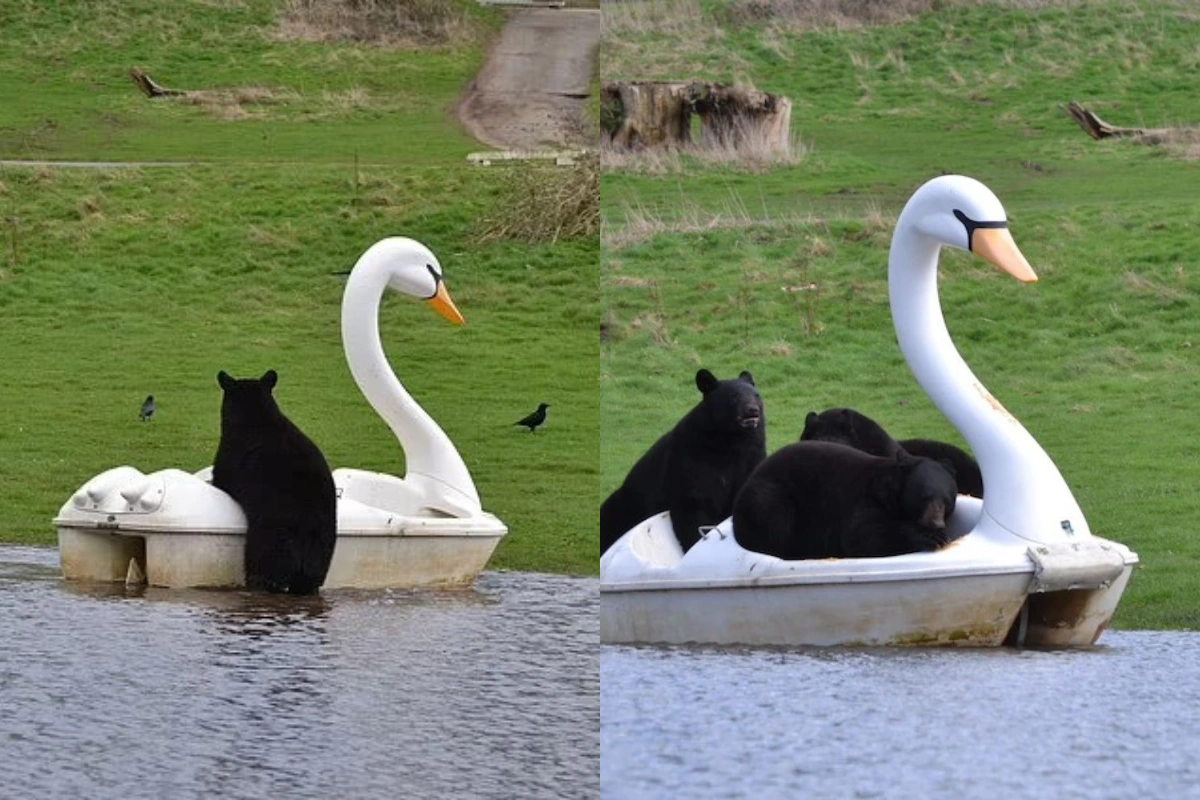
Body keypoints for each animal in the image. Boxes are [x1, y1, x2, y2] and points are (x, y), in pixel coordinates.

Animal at [212, 371, 338, 594]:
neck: (254, 417)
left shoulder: (230, 456)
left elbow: (220, 479)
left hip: (270, 546)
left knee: (262, 572)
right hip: (323, 552)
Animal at [604, 371, 763, 554]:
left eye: (756, 395)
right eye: (734, 397)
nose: (752, 410)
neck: (731, 442)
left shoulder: (751, 457)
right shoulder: (689, 460)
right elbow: (691, 506)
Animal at [724, 441, 960, 561]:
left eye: (947, 501)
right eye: (924, 497)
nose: (936, 523)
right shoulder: (864, 498)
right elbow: (863, 535)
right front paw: (931, 537)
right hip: (768, 497)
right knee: (772, 518)